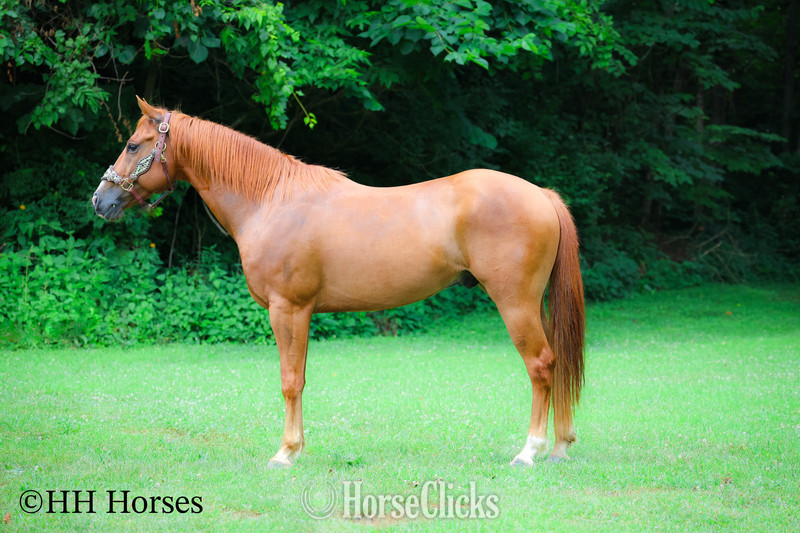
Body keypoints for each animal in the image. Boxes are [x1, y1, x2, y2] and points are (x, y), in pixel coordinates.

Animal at [92, 97, 585, 467]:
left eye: (133, 145)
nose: (100, 200)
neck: (271, 200)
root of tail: (540, 194)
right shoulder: (303, 313)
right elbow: (301, 378)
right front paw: (296, 448)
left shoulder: (287, 309)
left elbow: (290, 380)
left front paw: (285, 453)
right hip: (535, 303)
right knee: (557, 362)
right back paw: (560, 447)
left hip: (515, 303)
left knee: (541, 365)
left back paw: (530, 451)